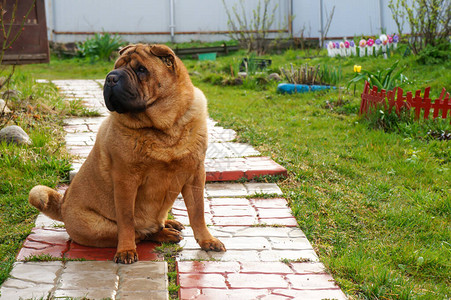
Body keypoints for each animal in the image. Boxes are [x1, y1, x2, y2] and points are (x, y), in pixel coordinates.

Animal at [29, 43, 226, 264]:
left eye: (141, 69)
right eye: (116, 67)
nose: (110, 78)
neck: (163, 130)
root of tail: (62, 205)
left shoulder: (195, 174)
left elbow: (198, 212)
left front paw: (208, 241)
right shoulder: (126, 180)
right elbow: (127, 220)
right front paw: (125, 251)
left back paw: (170, 224)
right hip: (97, 227)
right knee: (140, 232)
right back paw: (165, 233)